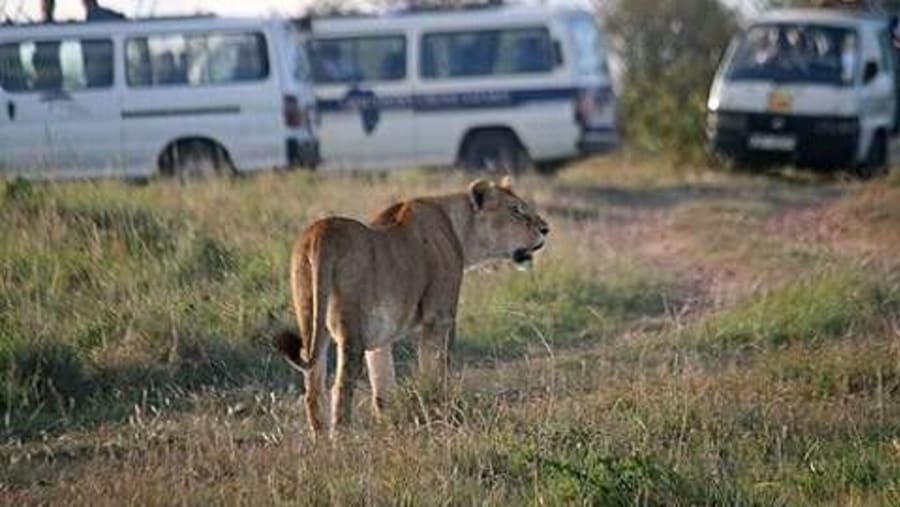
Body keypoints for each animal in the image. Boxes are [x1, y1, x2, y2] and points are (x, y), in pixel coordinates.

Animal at [275, 177, 549, 440]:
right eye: (516, 210)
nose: (546, 229)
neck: (459, 227)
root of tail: (320, 233)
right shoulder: (439, 316)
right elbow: (435, 369)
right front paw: (437, 408)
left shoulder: (380, 339)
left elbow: (383, 386)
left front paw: (388, 428)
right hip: (350, 327)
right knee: (341, 386)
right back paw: (342, 440)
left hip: (310, 317)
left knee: (313, 386)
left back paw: (319, 440)